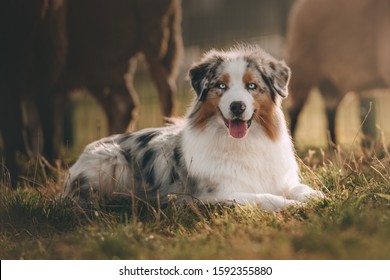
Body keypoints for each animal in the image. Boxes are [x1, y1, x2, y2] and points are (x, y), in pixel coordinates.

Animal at [64, 44, 324, 210]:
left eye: (252, 86)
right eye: (221, 86)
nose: (237, 106)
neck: (244, 143)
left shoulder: (281, 179)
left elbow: (299, 188)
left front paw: (315, 196)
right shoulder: (218, 194)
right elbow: (265, 198)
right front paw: (292, 205)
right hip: (112, 160)